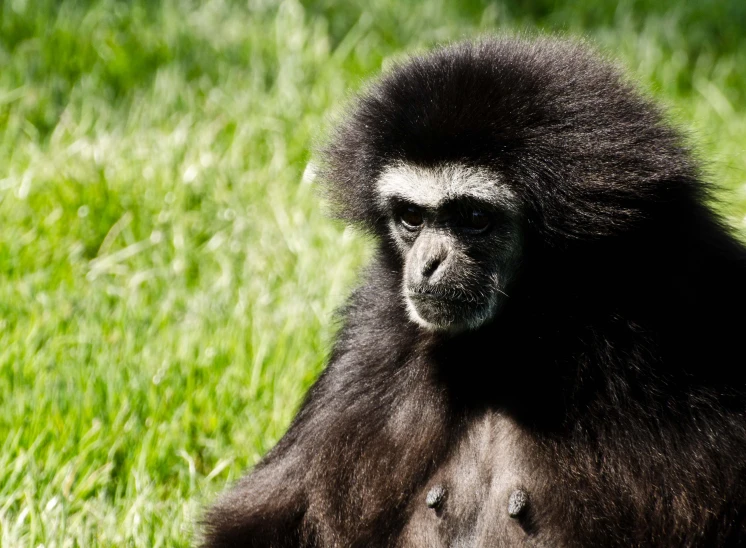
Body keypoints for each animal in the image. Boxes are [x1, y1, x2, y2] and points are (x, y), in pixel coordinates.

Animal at [201, 38, 744, 548]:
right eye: (411, 218)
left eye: (475, 218)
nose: (427, 264)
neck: (514, 341)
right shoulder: (376, 329)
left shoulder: (685, 297)